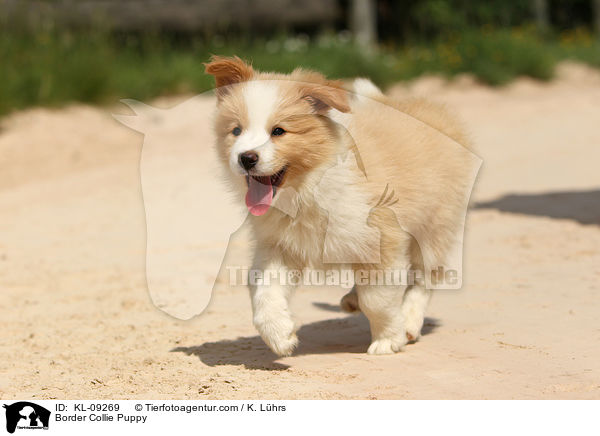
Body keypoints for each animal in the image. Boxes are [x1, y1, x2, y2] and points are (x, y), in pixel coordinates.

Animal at [206, 55, 482, 354]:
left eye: (278, 131)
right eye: (236, 130)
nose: (246, 158)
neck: (307, 188)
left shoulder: (382, 236)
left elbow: (378, 299)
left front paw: (388, 339)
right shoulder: (280, 245)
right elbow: (263, 288)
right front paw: (279, 334)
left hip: (435, 224)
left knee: (425, 277)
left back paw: (409, 321)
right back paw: (353, 299)